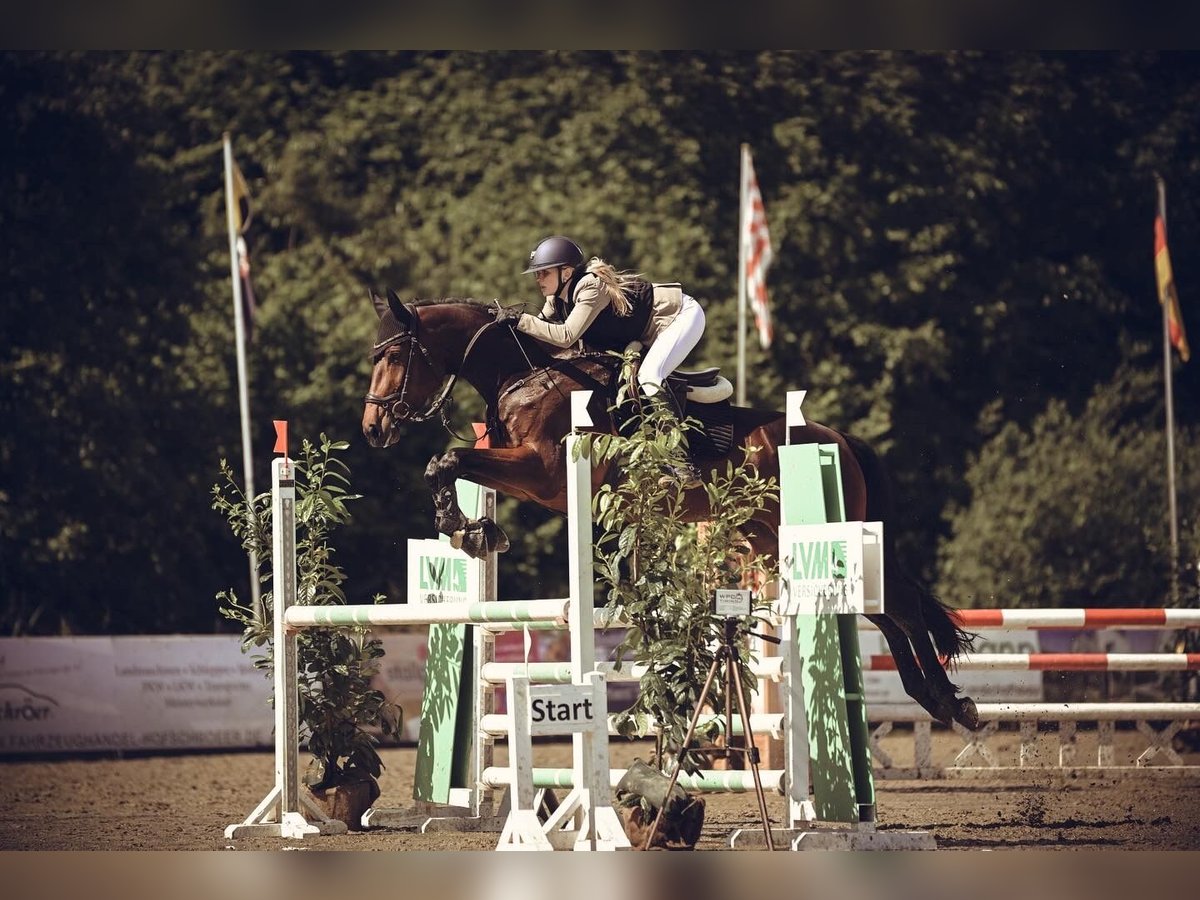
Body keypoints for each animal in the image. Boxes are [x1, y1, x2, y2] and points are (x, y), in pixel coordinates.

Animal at [360, 292, 979, 729]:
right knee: (883, 609)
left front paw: (468, 529)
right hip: (778, 538)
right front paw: (474, 531)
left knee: (900, 607)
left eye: (392, 355)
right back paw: (935, 699)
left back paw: (953, 704)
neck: (523, 375)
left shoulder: (546, 470)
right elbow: (447, 464)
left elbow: (449, 458)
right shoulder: (533, 478)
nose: (372, 428)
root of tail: (838, 438)